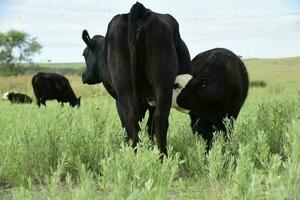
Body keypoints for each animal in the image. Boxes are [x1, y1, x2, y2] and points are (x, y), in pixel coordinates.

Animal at [81, 1, 192, 155]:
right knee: (156, 118)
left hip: (132, 88)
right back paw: (157, 155)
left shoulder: (118, 100)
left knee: (133, 119)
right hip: (157, 84)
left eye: (84, 54)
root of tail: (141, 10)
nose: (84, 76)